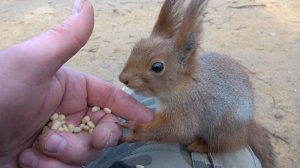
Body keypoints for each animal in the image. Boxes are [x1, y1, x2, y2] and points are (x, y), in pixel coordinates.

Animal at [118, 0, 276, 167]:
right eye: (135, 48)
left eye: (157, 67)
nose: (123, 78)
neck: (183, 84)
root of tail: (246, 129)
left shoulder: (188, 107)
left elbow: (176, 130)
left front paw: (137, 129)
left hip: (223, 130)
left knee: (222, 145)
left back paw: (200, 145)